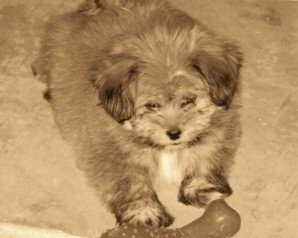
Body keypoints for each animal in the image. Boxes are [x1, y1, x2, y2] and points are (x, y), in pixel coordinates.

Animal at [35, 0, 243, 228]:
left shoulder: (217, 131)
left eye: (188, 100)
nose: (174, 134)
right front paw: (144, 212)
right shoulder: (113, 151)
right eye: (152, 105)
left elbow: (205, 156)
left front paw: (202, 187)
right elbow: (131, 179)